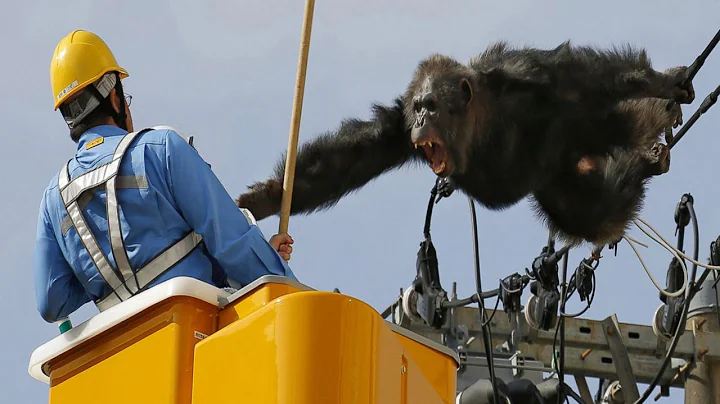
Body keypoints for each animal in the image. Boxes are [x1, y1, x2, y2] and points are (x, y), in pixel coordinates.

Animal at [236, 41, 694, 247]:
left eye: (432, 106)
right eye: (418, 107)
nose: (422, 119)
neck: (480, 121)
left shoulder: (532, 76)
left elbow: (583, 78)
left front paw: (660, 82)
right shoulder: (398, 129)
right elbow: (347, 160)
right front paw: (267, 198)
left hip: (587, 136)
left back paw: (651, 141)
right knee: (588, 212)